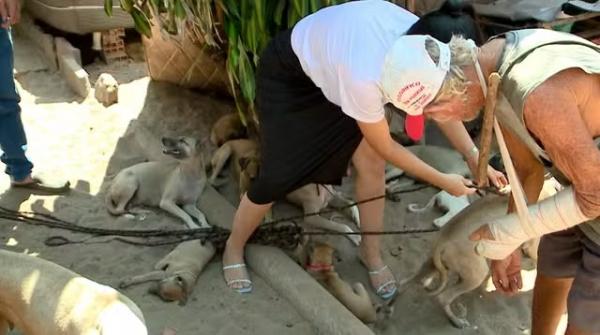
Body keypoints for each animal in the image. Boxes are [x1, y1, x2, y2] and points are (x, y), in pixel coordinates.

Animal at [406, 180, 560, 330]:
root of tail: (442, 242)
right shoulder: (533, 246)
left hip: (435, 264)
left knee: (414, 280)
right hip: (476, 274)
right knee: (443, 297)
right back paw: (457, 321)